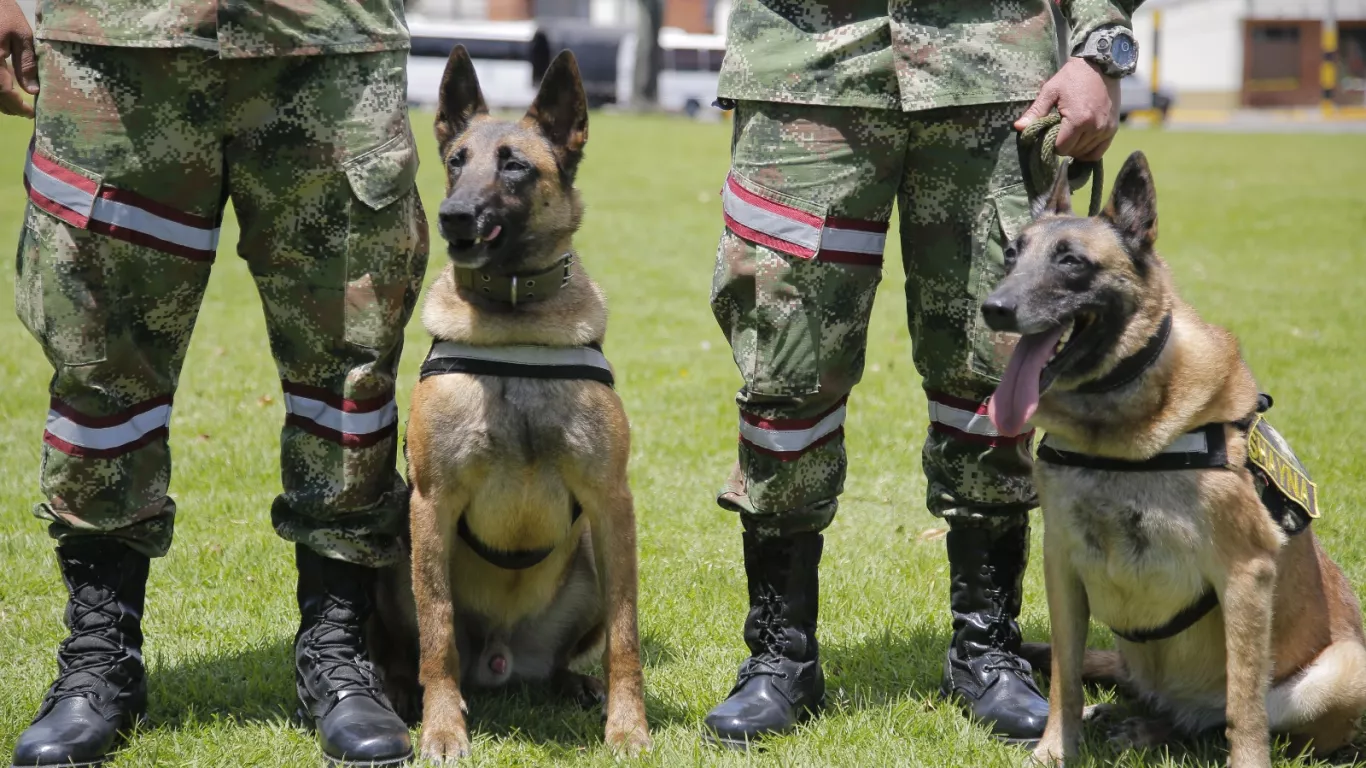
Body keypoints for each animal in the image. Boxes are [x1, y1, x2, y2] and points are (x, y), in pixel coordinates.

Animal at [368, 47, 650, 759]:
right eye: (456, 160)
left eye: (515, 165)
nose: (453, 216)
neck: (514, 317)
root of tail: (499, 659)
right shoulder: (431, 503)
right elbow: (437, 632)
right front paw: (443, 729)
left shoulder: (611, 502)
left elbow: (626, 634)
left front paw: (628, 726)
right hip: (398, 545)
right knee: (417, 648)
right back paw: (402, 693)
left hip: (588, 560)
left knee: (564, 661)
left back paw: (575, 687)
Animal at [983, 151, 1366, 765]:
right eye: (1012, 255)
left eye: (1071, 261)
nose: (993, 309)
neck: (1117, 436)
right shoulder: (1061, 564)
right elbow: (1066, 678)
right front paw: (1053, 750)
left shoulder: (1246, 574)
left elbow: (1244, 708)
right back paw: (1125, 717)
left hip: (1341, 671)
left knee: (1215, 720)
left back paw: (1154, 728)